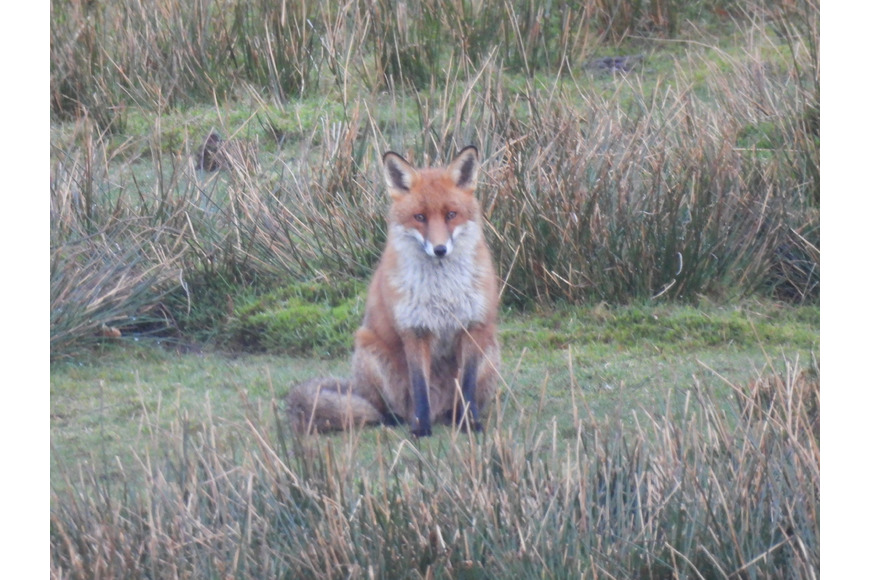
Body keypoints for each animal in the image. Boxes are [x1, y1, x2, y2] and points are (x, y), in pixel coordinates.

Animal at [286, 145, 500, 437]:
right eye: (420, 217)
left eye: (451, 215)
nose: (440, 249)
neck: (442, 293)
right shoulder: (415, 329)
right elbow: (419, 386)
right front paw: (421, 429)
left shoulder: (473, 327)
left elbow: (466, 386)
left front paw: (470, 423)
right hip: (369, 352)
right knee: (382, 409)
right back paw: (401, 419)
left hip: (491, 349)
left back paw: (453, 417)